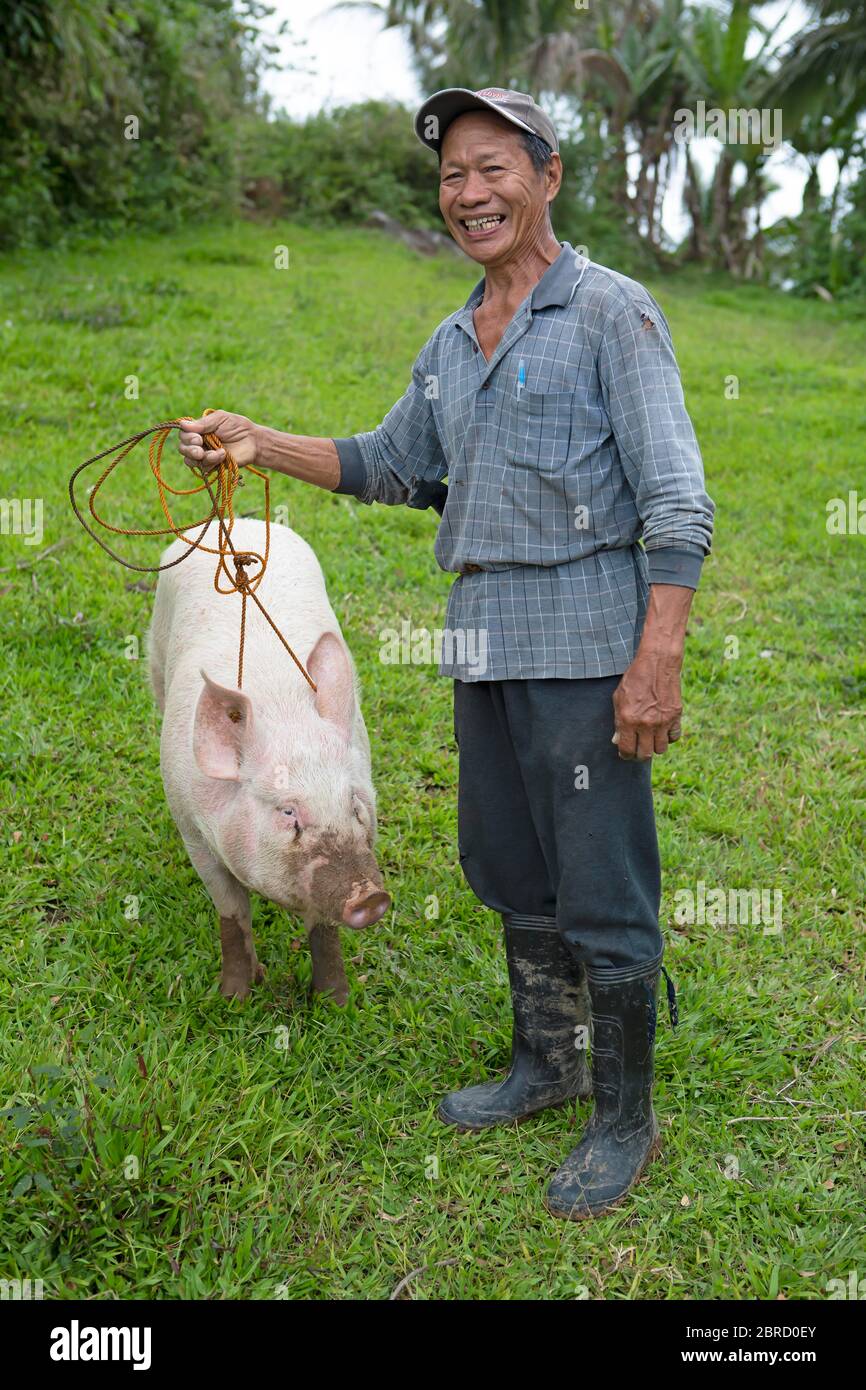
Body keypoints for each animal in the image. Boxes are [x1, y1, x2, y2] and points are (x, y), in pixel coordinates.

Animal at [146, 516, 390, 1005]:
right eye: (288, 812)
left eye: (355, 803)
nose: (370, 897)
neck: (284, 714)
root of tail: (238, 521)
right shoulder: (194, 831)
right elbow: (231, 911)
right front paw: (234, 999)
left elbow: (323, 926)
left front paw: (334, 1002)